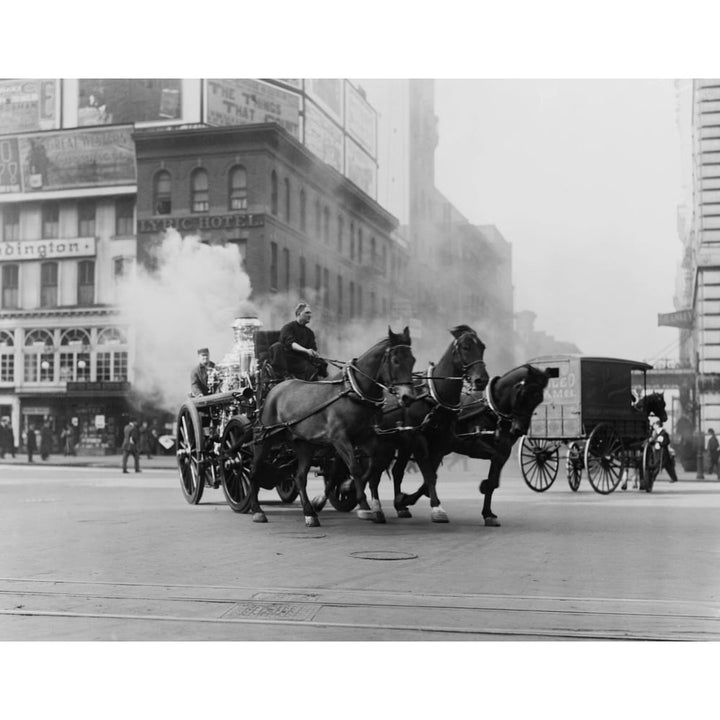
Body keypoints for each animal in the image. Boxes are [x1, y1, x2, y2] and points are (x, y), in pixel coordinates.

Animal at [248, 330, 416, 524]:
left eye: (413, 360)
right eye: (395, 360)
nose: (407, 397)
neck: (354, 391)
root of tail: (275, 389)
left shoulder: (367, 437)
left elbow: (373, 465)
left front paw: (350, 488)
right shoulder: (340, 438)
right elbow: (355, 468)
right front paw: (363, 504)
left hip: (304, 444)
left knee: (300, 477)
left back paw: (309, 512)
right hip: (265, 438)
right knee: (254, 471)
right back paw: (256, 509)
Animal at [390, 362, 556, 524]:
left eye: (539, 399)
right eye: (524, 394)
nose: (519, 430)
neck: (492, 410)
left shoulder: (504, 450)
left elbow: (493, 480)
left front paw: (488, 513)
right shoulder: (471, 444)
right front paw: (406, 499)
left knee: (405, 471)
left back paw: (402, 505)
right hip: (412, 441)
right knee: (401, 470)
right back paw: (401, 504)